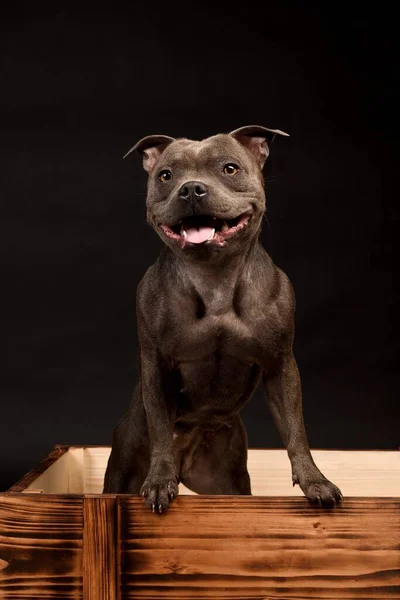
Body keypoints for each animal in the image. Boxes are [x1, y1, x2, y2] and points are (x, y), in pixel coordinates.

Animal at [101, 125, 342, 510]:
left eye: (229, 168)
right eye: (166, 175)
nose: (191, 189)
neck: (214, 280)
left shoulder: (281, 365)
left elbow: (296, 430)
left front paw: (314, 481)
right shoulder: (156, 364)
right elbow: (160, 428)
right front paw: (159, 480)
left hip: (229, 483)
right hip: (123, 464)